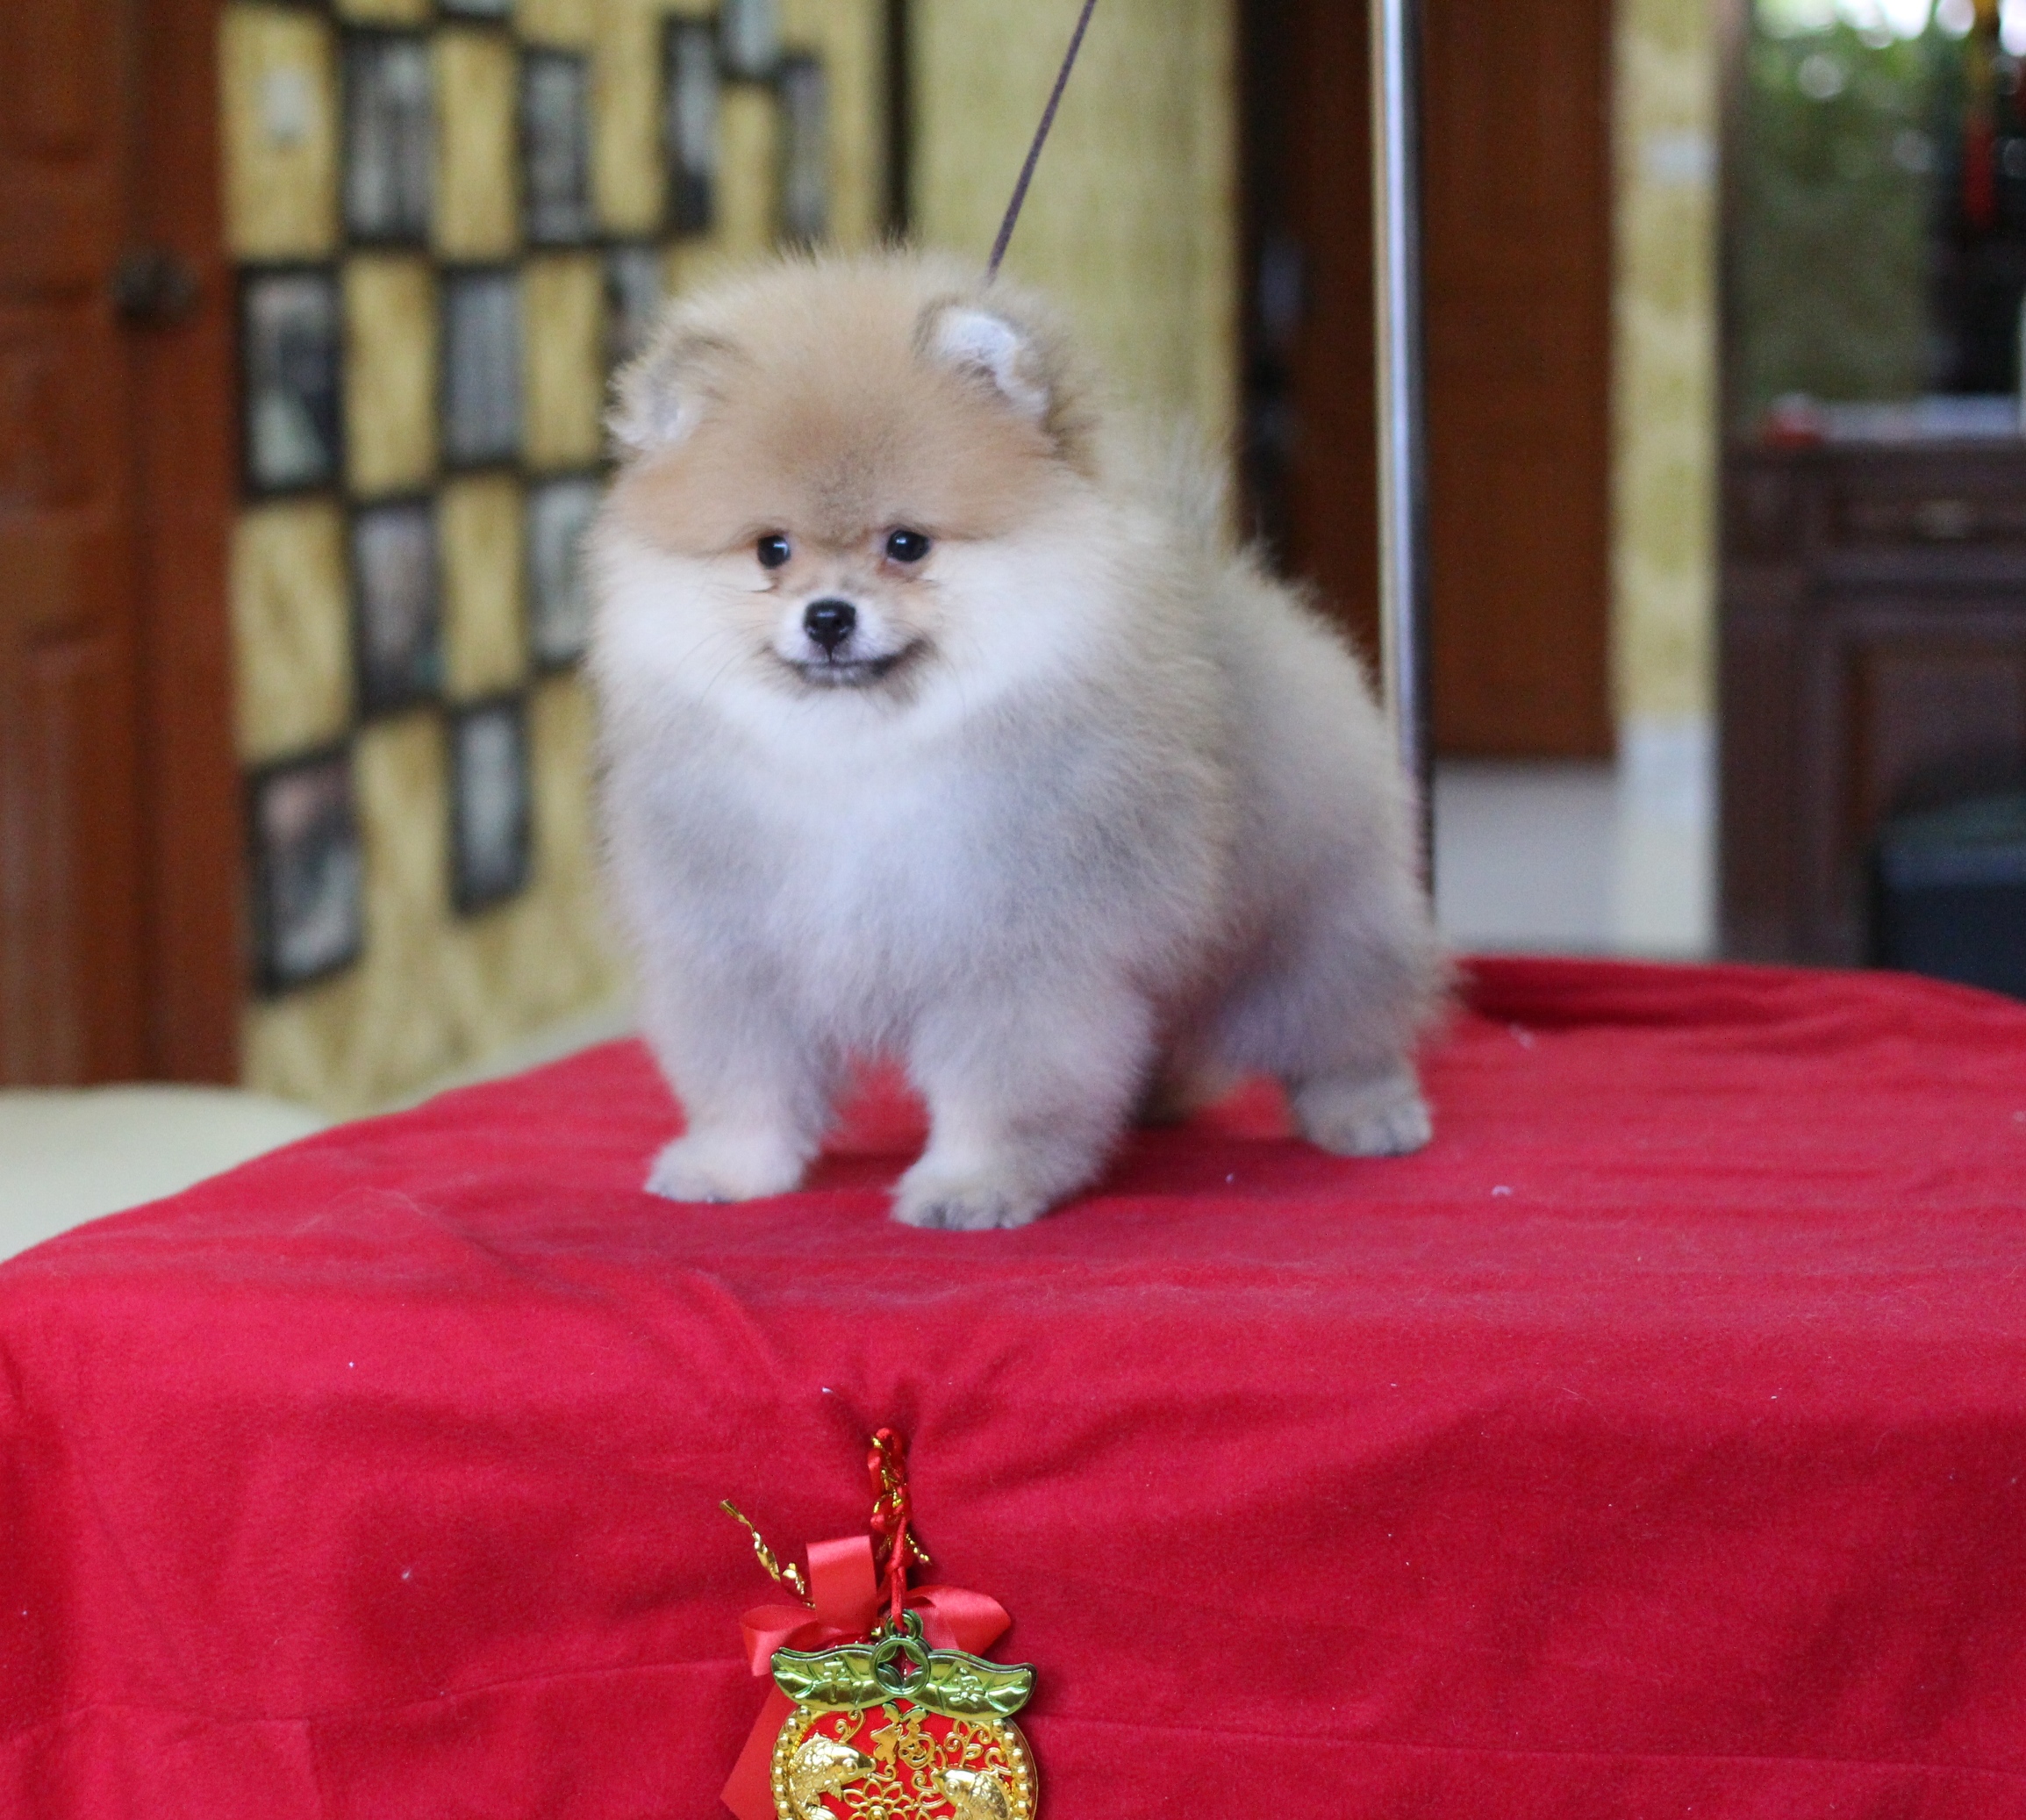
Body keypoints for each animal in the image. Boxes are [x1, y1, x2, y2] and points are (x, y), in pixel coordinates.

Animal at [588, 252, 1443, 1230]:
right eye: (771, 550)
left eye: (906, 545)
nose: (828, 616)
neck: (856, 758)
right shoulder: (737, 950)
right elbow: (747, 1078)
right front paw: (731, 1168)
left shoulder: (1016, 949)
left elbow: (1000, 1085)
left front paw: (974, 1184)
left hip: (1305, 915)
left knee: (1343, 1015)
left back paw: (1369, 1109)